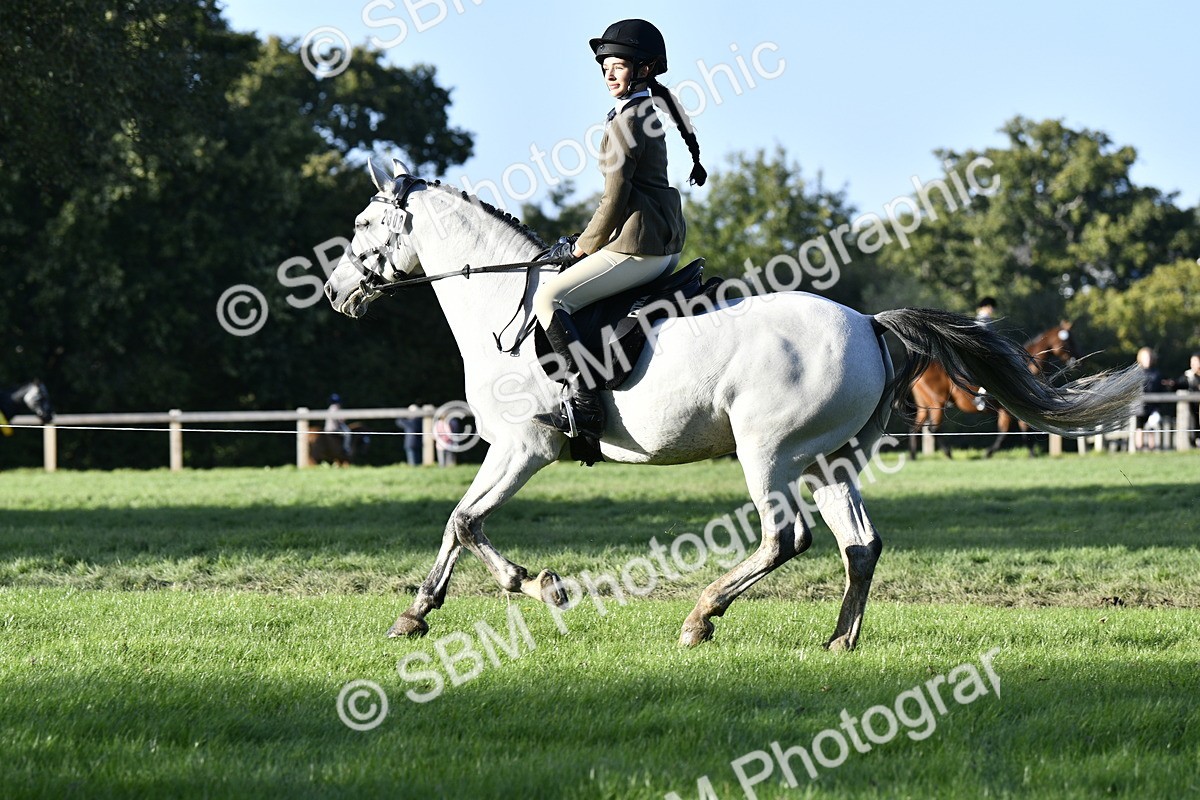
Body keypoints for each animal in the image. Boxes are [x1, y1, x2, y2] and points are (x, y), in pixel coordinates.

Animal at [908, 322, 1081, 458]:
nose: (1076, 361)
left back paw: (912, 456)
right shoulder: (1009, 410)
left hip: (926, 405)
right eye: (1067, 341)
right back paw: (947, 453)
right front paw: (989, 453)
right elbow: (1007, 432)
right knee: (933, 428)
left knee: (917, 427)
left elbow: (1016, 430)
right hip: (937, 402)